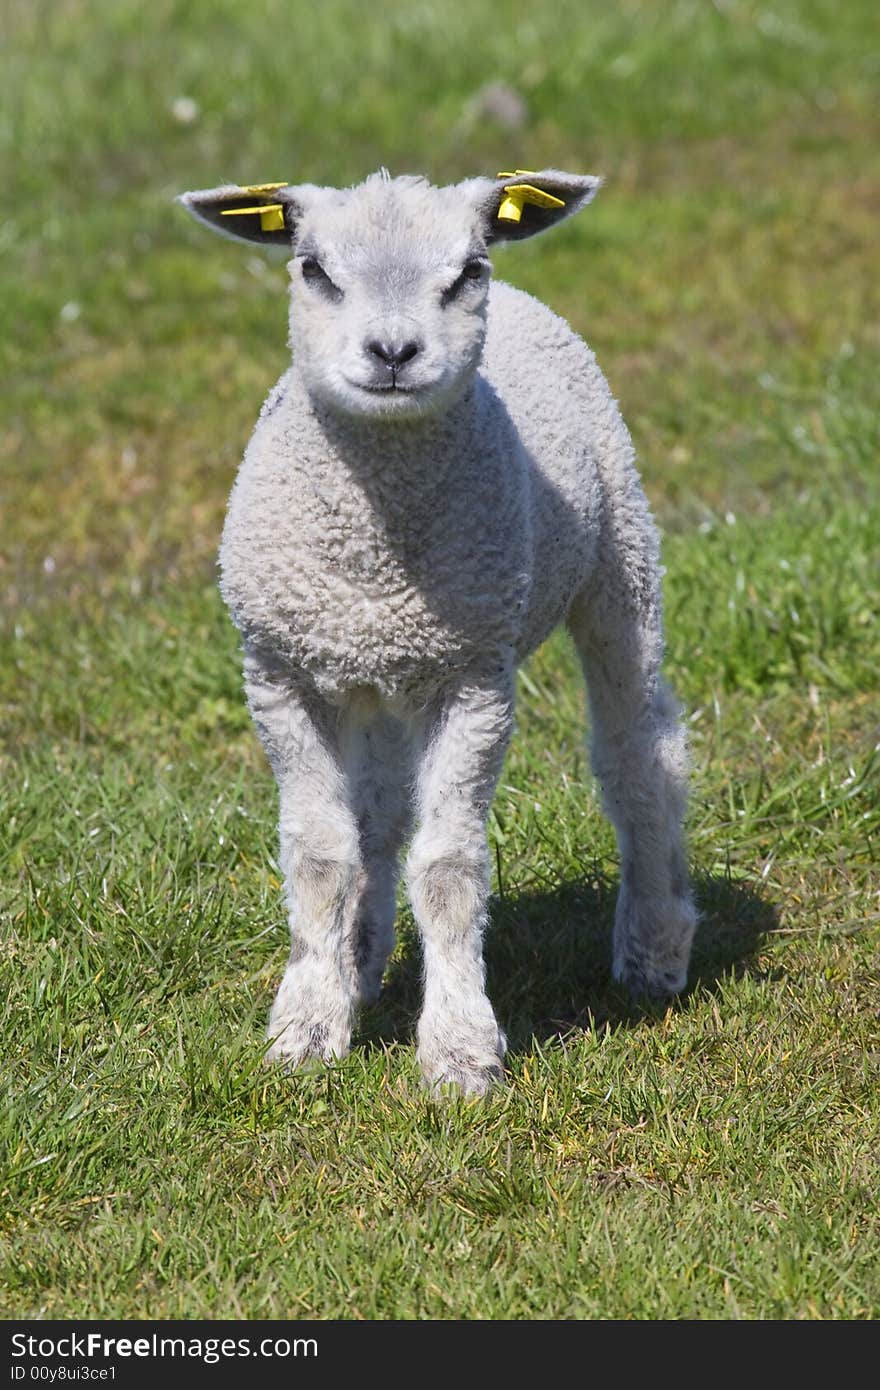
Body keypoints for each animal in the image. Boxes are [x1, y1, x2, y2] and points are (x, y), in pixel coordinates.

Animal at [177, 165, 697, 1095]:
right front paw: (308, 1026)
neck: (378, 554)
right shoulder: (281, 674)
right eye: (313, 269)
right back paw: (360, 960)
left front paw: (459, 1051)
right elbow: (323, 854)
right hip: (381, 674)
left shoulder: (474, 678)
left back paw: (653, 948)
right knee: (379, 813)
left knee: (642, 754)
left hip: (620, 561)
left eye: (467, 272)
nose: (393, 353)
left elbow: (450, 867)